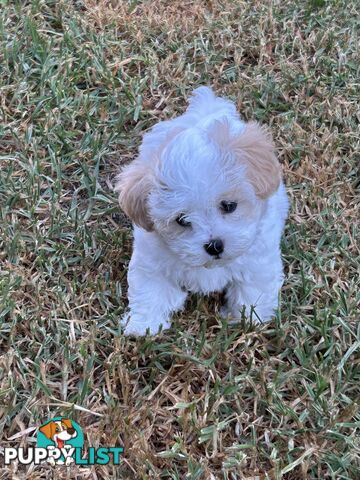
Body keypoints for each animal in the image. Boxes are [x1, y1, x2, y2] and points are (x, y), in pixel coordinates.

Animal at [115, 87, 290, 334]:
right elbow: (150, 290)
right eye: (181, 220)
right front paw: (144, 325)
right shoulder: (151, 261)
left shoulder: (258, 261)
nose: (214, 245)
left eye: (229, 206)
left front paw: (247, 320)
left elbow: (253, 290)